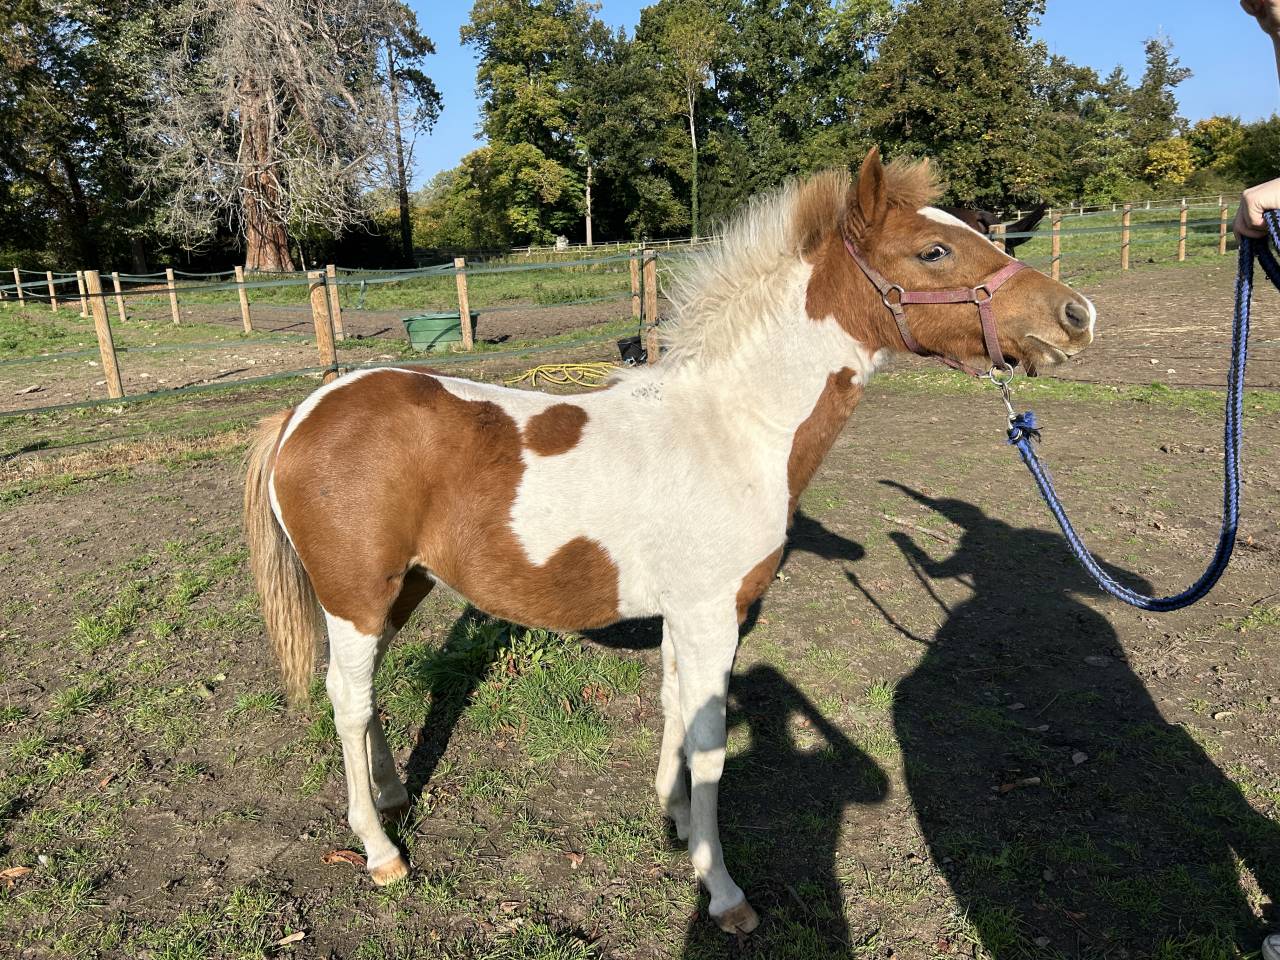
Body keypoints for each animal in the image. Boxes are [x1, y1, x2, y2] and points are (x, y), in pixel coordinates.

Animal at [242, 148, 1095, 935]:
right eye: (935, 251)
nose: (1075, 315)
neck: (735, 427)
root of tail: (302, 412)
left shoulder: (689, 616)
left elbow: (675, 710)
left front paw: (676, 821)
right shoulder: (713, 616)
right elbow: (710, 742)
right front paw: (722, 890)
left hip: (402, 587)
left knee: (369, 694)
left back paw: (391, 794)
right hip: (354, 596)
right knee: (347, 699)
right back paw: (381, 850)